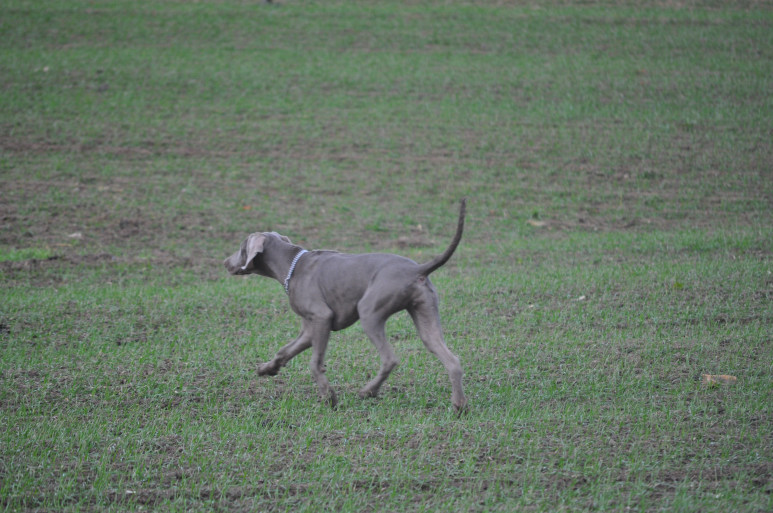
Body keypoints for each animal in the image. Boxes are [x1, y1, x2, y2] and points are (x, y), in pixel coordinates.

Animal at [220, 198, 468, 410]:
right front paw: (267, 369)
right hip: (425, 314)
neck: (292, 264)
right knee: (452, 360)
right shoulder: (310, 328)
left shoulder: (322, 318)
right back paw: (459, 405)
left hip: (369, 312)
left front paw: (328, 397)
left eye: (241, 247)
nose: (224, 262)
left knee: (390, 359)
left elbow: (314, 363)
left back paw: (368, 391)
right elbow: (285, 351)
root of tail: (417, 269)